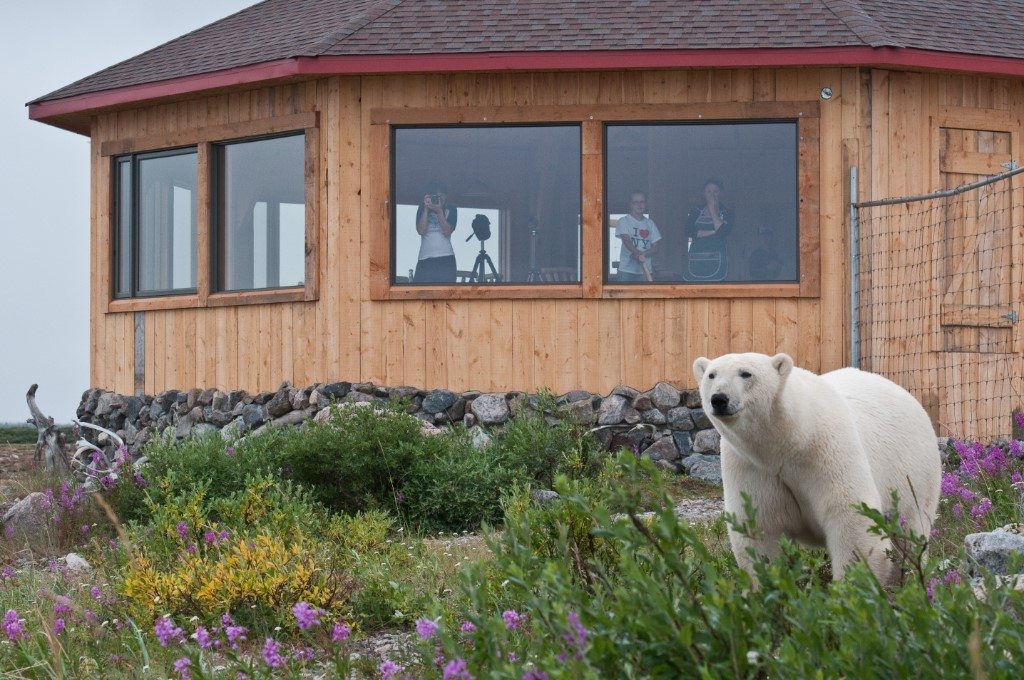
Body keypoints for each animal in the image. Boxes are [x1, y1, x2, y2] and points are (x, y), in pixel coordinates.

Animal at [692, 352, 937, 581]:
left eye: (746, 373)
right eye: (711, 375)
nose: (719, 399)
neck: (789, 438)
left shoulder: (826, 451)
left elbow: (851, 516)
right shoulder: (751, 466)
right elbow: (760, 527)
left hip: (913, 470)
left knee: (909, 530)